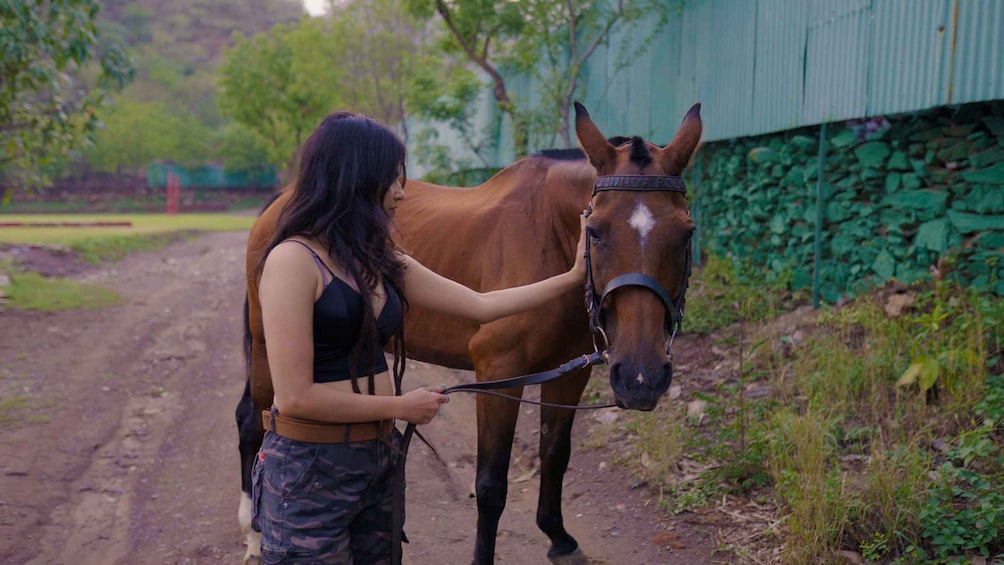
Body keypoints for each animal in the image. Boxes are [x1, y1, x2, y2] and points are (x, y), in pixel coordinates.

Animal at [237, 102, 702, 565]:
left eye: (687, 233)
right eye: (597, 232)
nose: (641, 378)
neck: (547, 231)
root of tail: (282, 202)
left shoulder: (570, 373)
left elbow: (555, 456)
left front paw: (558, 538)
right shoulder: (500, 373)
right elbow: (491, 484)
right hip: (266, 347)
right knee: (253, 418)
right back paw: (254, 535)